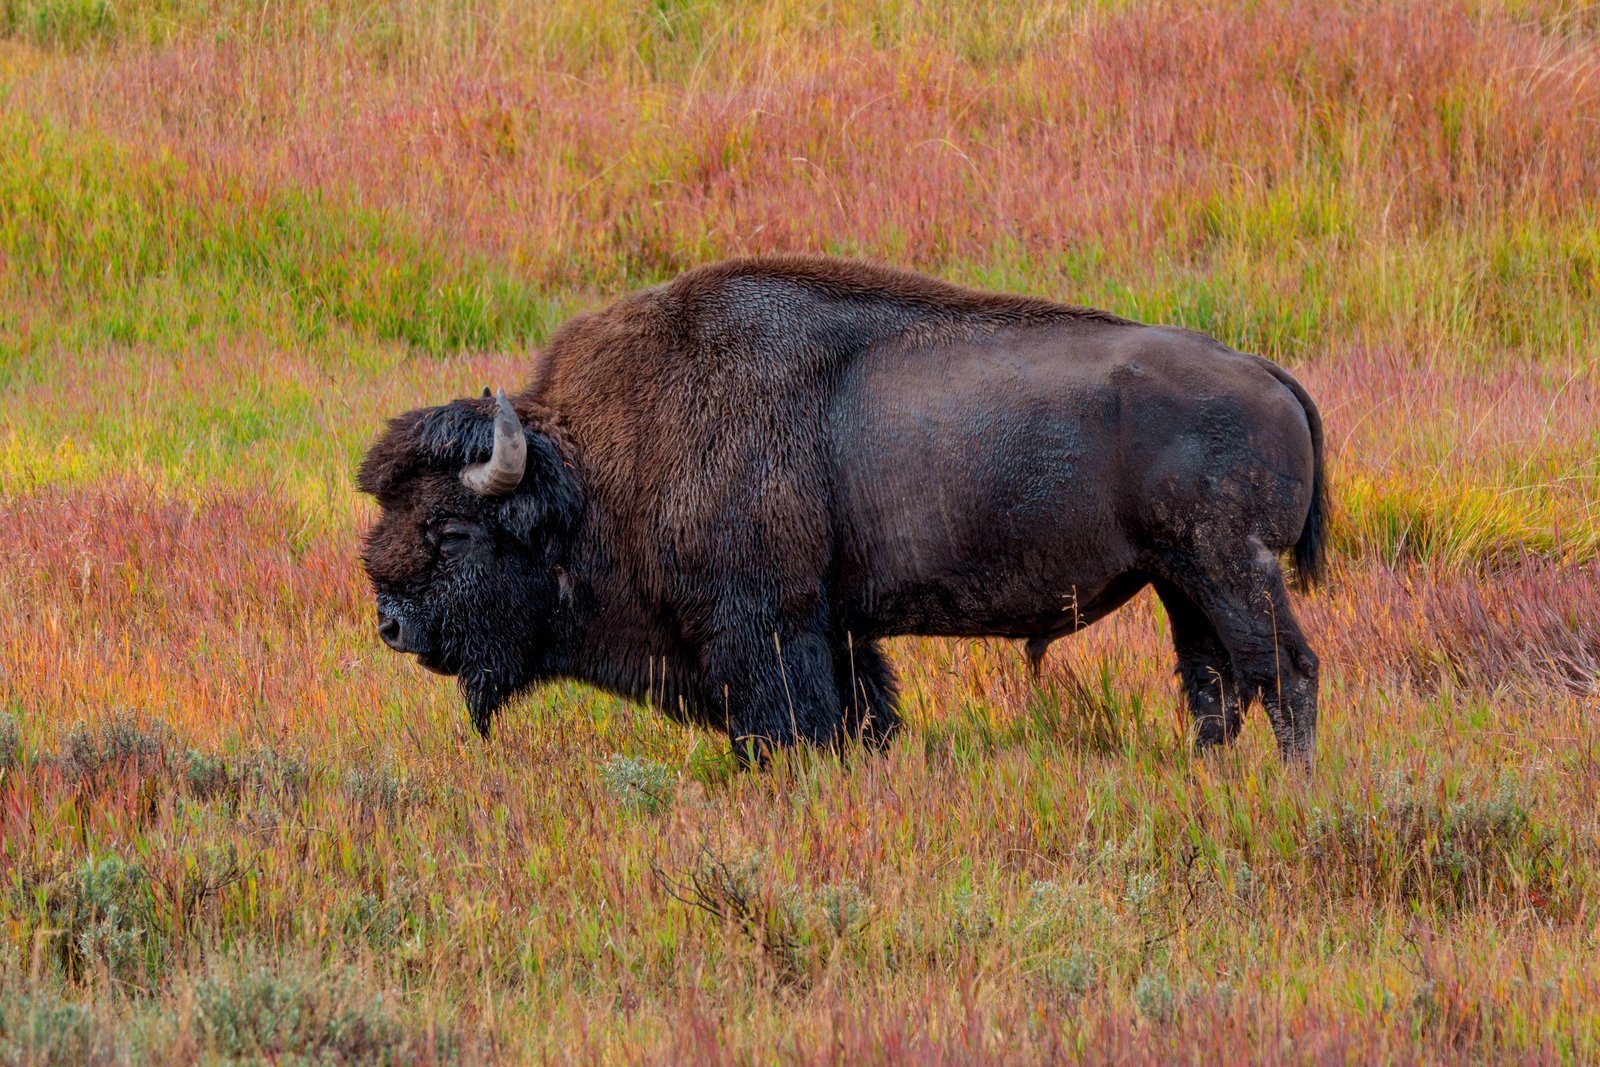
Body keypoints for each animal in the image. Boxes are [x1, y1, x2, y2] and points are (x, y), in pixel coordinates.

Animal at [358, 256, 1326, 762]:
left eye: (451, 528)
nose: (391, 624)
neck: (595, 469)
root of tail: (1260, 370)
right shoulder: (838, 628)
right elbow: (866, 713)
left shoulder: (765, 627)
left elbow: (790, 724)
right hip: (1179, 579)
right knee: (1213, 680)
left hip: (1229, 567)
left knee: (1282, 671)